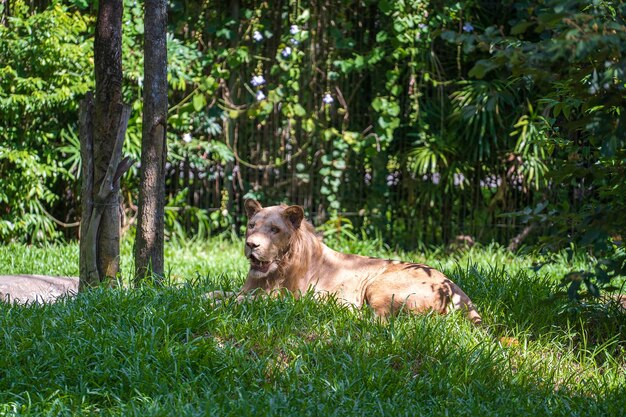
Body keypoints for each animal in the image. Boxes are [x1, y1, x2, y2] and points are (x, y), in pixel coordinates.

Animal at [207, 200, 480, 324]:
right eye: (252, 225)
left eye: (274, 229)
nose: (252, 244)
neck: (273, 273)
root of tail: (452, 285)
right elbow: (220, 292)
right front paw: (207, 296)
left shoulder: (289, 298)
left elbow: (247, 300)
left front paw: (221, 304)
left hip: (379, 285)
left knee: (378, 320)